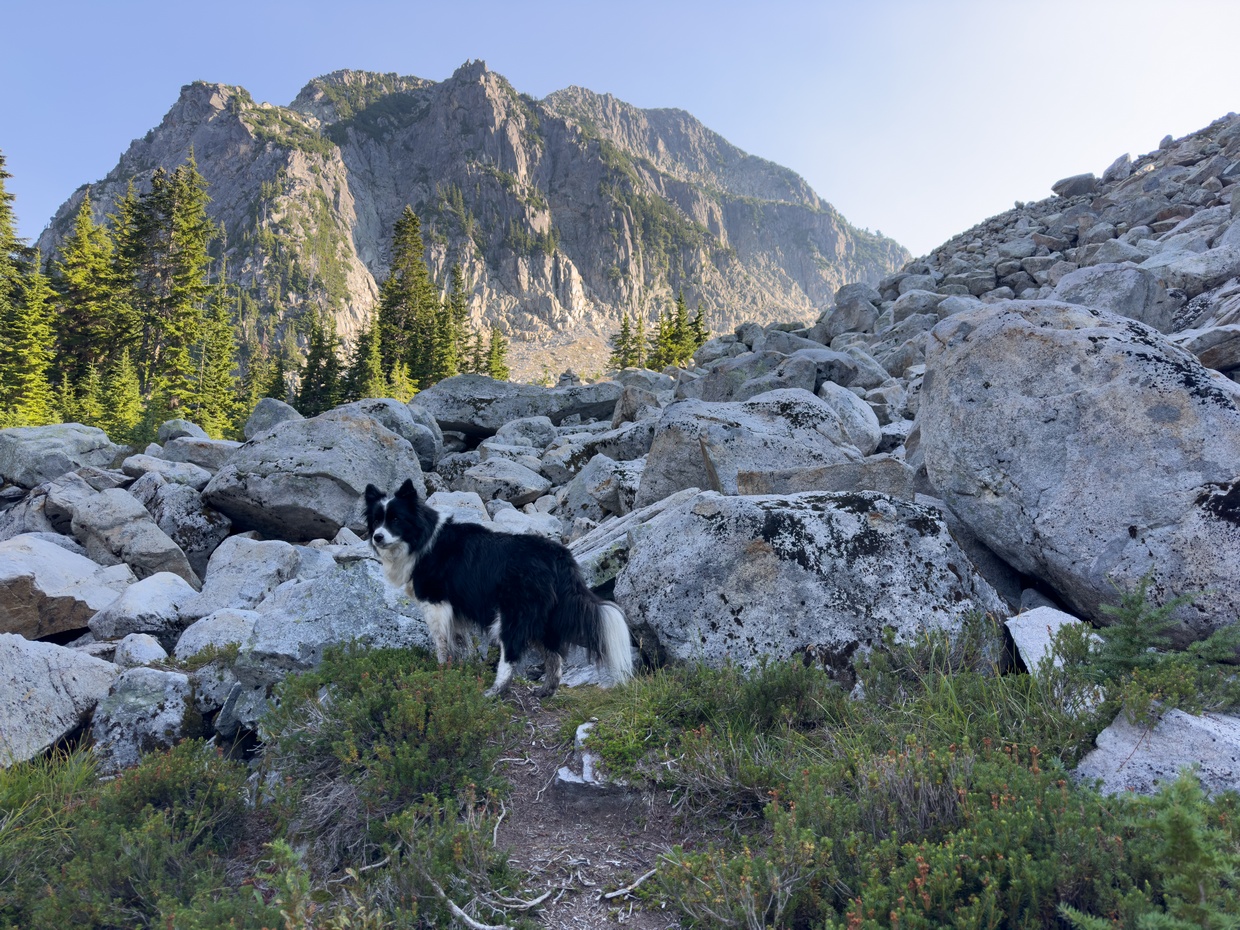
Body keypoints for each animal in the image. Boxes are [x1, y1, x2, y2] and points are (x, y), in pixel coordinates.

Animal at [364, 479, 633, 698]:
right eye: (376, 520)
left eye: (396, 519)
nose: (377, 537)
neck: (422, 538)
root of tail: (558, 556)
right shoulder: (456, 610)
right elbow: (459, 643)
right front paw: (458, 669)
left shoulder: (436, 603)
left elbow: (441, 642)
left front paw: (440, 669)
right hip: (544, 616)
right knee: (554, 655)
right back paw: (546, 691)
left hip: (512, 613)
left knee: (511, 655)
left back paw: (495, 691)